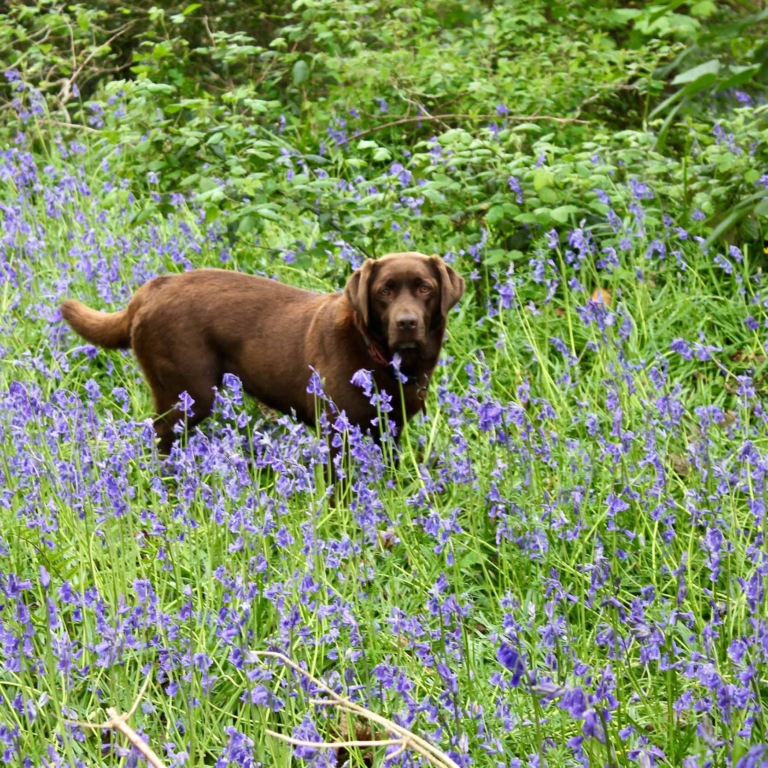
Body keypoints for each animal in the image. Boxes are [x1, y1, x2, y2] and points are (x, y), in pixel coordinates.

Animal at [60, 252, 464, 456]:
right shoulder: (336, 431)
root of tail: (151, 290)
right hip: (188, 394)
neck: (375, 354)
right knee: (160, 436)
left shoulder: (389, 430)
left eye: (424, 289)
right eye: (384, 291)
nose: (407, 323)